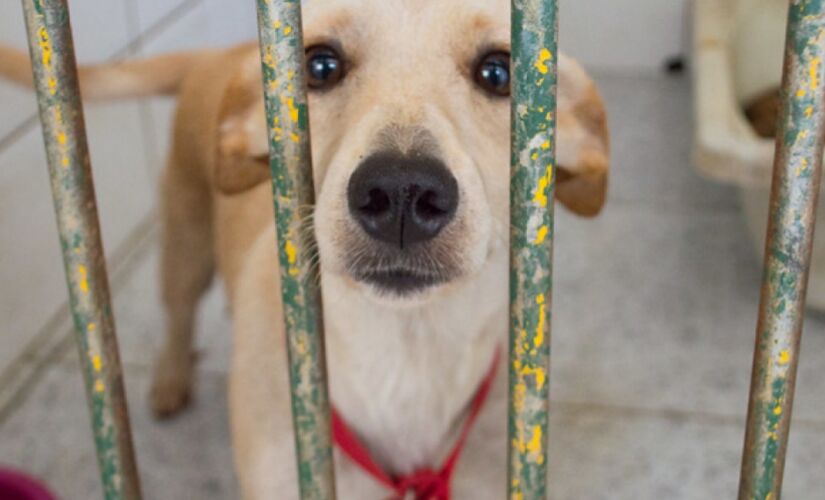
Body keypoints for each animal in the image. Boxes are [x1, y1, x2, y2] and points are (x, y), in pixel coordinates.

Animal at [3, 1, 608, 498]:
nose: (402, 192)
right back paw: (171, 379)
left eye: (499, 72)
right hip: (184, 244)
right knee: (177, 313)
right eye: (319, 66)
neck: (403, 359)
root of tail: (221, 53)